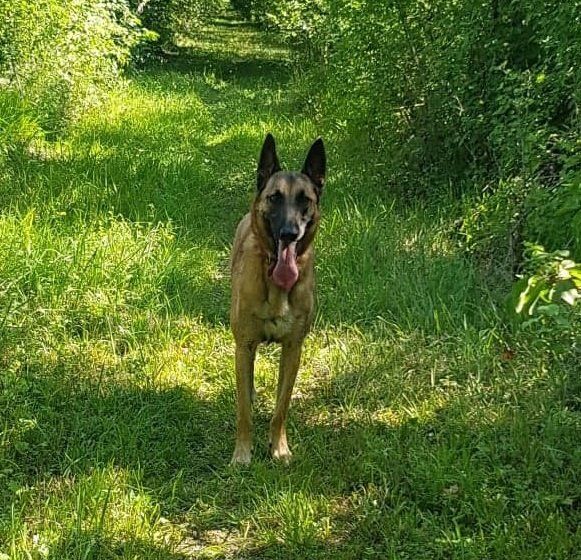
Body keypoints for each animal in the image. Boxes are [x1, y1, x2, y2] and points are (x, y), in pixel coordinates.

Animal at [230, 133, 326, 465]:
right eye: (275, 197)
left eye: (304, 199)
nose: (288, 233)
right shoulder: (245, 344)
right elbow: (244, 411)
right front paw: (242, 453)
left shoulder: (294, 348)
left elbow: (281, 408)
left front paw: (279, 448)